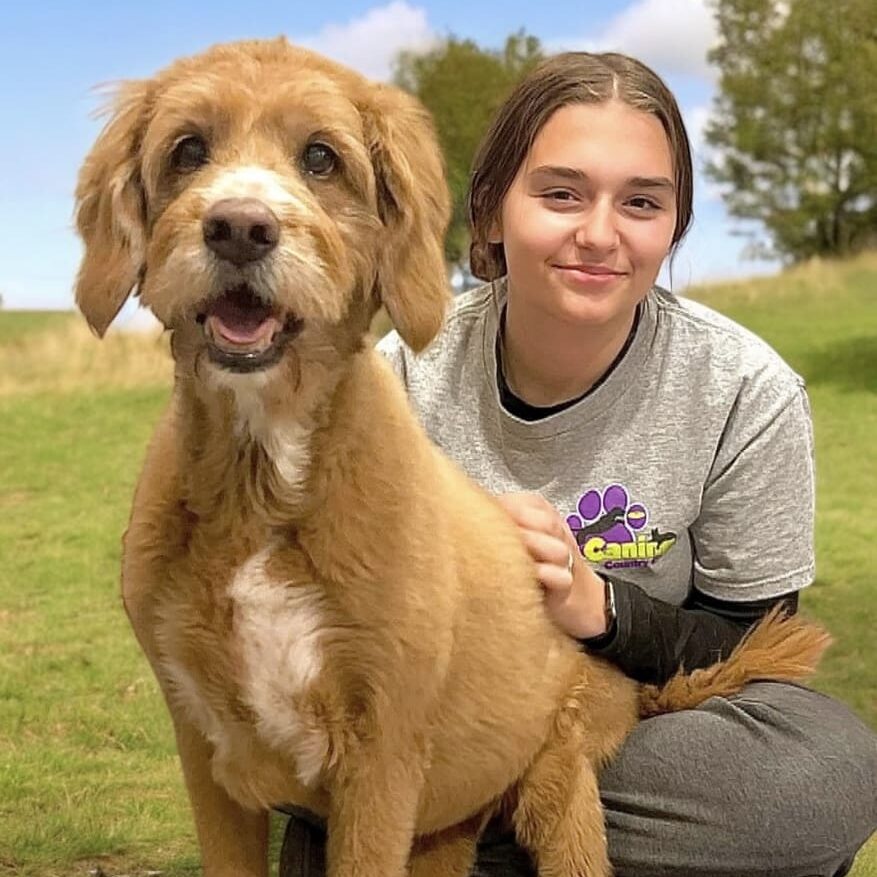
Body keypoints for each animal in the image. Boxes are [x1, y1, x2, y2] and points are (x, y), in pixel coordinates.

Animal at [73, 37, 828, 876]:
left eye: (321, 157)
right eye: (188, 150)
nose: (238, 226)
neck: (260, 481)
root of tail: (627, 689)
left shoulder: (378, 758)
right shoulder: (209, 750)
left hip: (558, 782)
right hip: (448, 823)